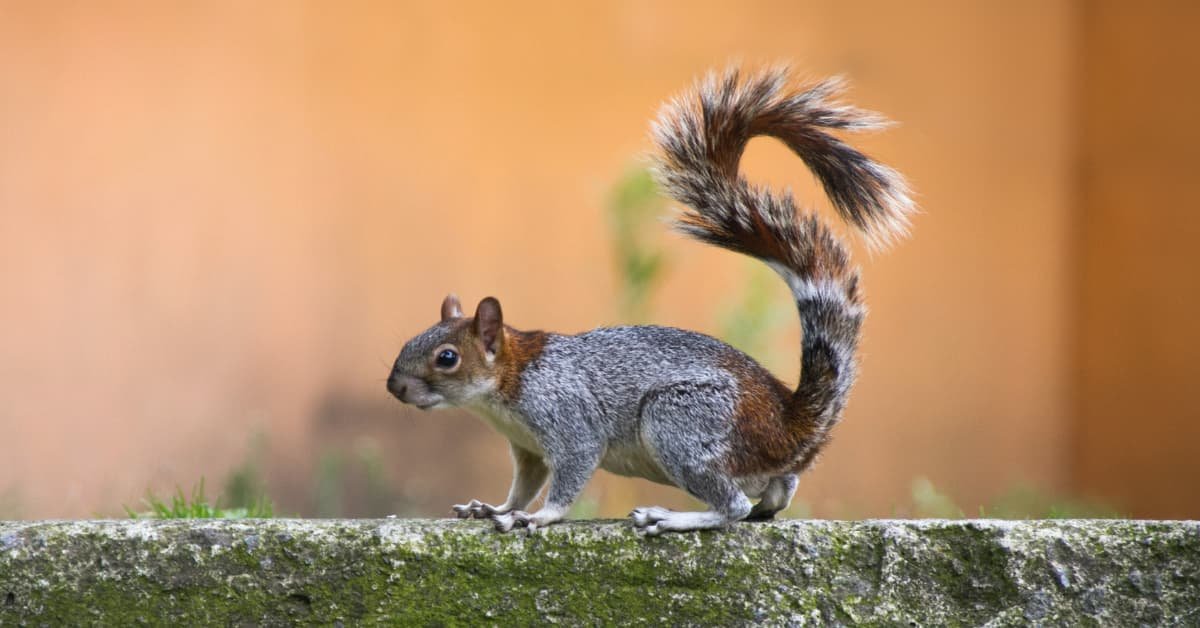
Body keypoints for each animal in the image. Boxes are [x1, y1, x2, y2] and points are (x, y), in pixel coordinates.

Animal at [388, 67, 912, 535]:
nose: (395, 388)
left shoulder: (568, 421)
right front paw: (494, 509)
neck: (509, 383)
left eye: (447, 357)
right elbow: (522, 486)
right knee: (776, 491)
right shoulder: (527, 448)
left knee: (734, 505)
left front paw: (537, 517)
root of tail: (789, 428)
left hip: (680, 421)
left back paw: (673, 518)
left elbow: (567, 478)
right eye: (414, 338)